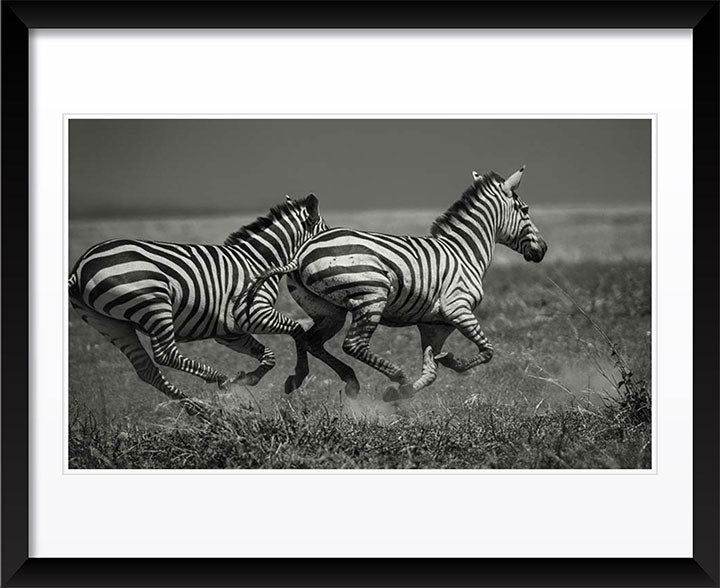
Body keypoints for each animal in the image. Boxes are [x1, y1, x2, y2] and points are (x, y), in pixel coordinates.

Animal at [68, 194, 328, 414]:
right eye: (326, 235)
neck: (259, 261)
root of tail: (80, 268)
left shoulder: (230, 332)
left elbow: (269, 355)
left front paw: (246, 379)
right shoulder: (254, 313)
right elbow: (296, 330)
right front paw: (297, 377)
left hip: (109, 323)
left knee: (146, 369)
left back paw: (202, 410)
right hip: (154, 302)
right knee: (165, 355)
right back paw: (218, 380)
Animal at [245, 167, 547, 402]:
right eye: (525, 209)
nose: (543, 250)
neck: (464, 252)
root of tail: (302, 251)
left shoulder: (434, 325)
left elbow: (431, 372)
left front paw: (403, 393)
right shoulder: (458, 309)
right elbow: (487, 351)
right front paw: (452, 362)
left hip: (329, 310)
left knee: (311, 340)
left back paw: (311, 379)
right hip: (371, 295)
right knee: (353, 344)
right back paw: (396, 376)